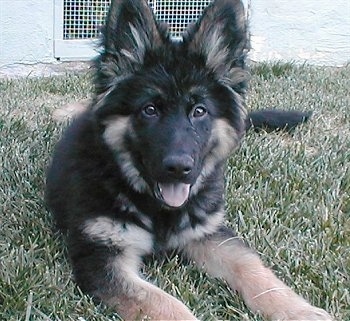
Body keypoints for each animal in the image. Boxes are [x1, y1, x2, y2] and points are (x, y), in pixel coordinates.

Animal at [45, 0, 332, 318]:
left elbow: (252, 267)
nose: (179, 168)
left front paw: (298, 310)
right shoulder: (101, 255)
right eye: (149, 109)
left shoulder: (210, 232)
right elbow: (163, 302)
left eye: (199, 111)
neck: (156, 209)